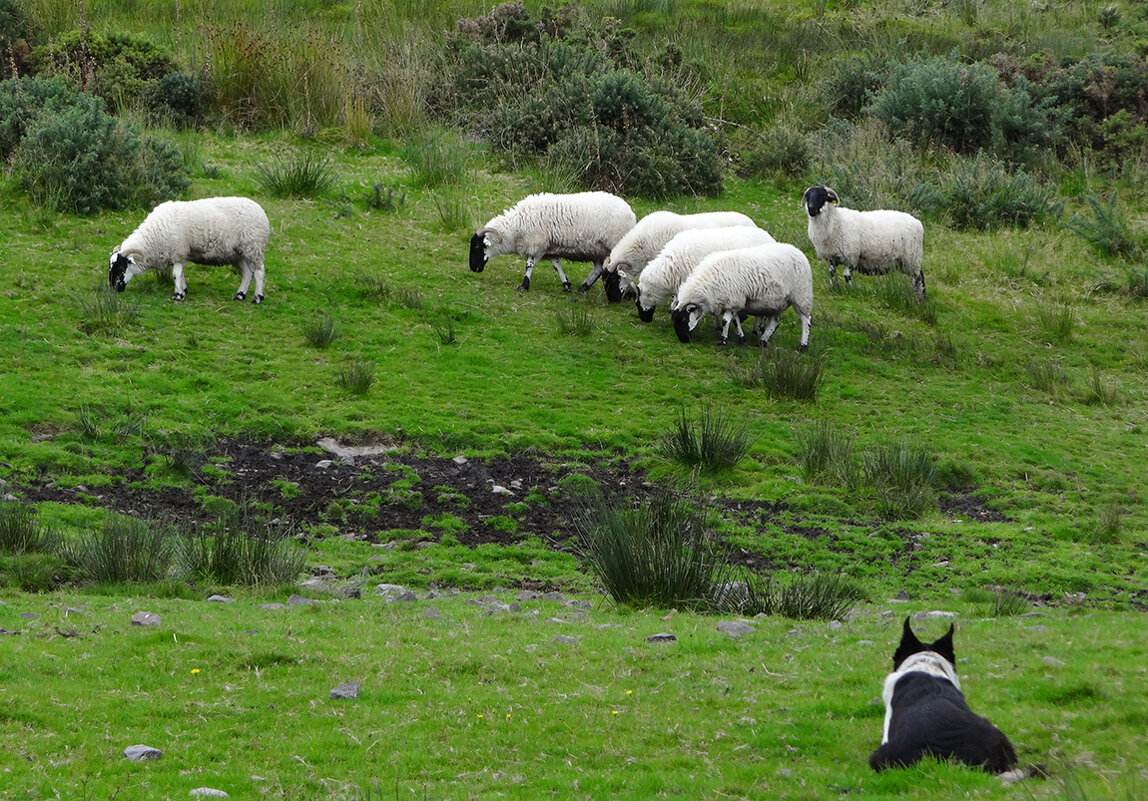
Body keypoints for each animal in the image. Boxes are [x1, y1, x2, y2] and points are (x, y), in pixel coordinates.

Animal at [111, 196, 273, 302]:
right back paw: (240, 295)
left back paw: (257, 297)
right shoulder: (181, 255)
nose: (113, 289)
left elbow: (175, 275)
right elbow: (181, 274)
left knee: (259, 272)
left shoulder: (177, 252)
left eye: (121, 268)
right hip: (238, 254)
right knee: (247, 273)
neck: (153, 238)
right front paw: (183, 291)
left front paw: (177, 296)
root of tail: (261, 211)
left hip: (253, 248)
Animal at [466, 191, 638, 291]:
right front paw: (566, 284)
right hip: (597, 250)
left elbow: (529, 265)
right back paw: (583, 287)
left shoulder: (536, 244)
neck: (515, 228)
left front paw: (524, 285)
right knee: (598, 269)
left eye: (477, 246)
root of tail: (631, 213)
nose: (473, 268)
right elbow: (557, 265)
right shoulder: (548, 248)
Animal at [670, 239, 812, 346]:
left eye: (684, 318)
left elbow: (726, 321)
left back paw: (803, 345)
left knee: (806, 320)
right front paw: (741, 338)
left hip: (801, 295)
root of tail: (797, 251)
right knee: (774, 323)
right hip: (777, 303)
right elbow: (735, 321)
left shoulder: (734, 300)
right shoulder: (735, 302)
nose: (683, 340)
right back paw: (763, 342)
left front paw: (723, 341)